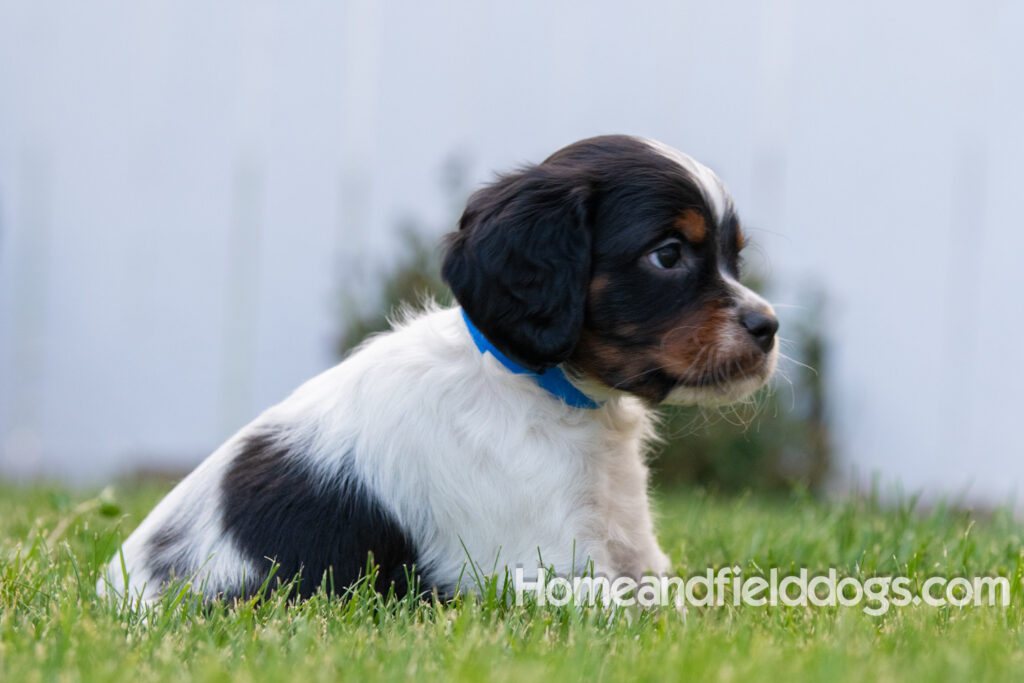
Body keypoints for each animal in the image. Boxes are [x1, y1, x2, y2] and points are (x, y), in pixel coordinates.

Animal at [99, 133, 778, 602]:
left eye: (733, 259)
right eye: (668, 255)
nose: (769, 327)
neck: (542, 392)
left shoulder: (630, 551)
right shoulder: (542, 571)